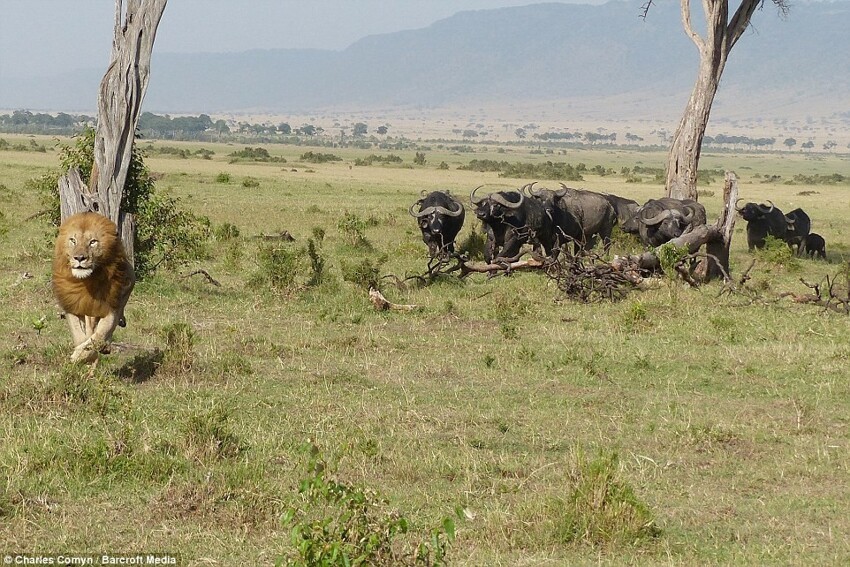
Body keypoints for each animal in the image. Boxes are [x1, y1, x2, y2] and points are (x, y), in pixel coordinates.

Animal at [51, 213, 135, 364]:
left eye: (93, 242)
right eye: (73, 240)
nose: (79, 258)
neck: (87, 281)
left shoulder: (111, 308)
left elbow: (99, 336)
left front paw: (82, 355)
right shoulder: (72, 307)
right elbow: (79, 336)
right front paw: (80, 355)